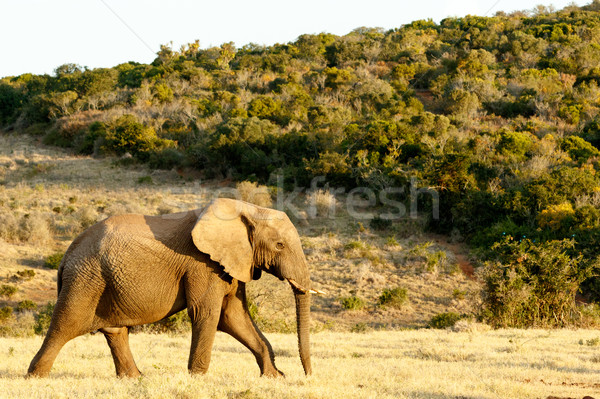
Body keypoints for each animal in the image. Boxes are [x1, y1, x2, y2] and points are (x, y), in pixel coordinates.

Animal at [28, 198, 318, 380]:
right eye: (279, 245)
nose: (307, 375)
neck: (245, 209)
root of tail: (66, 256)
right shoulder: (202, 264)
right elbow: (207, 314)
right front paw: (197, 378)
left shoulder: (233, 263)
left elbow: (233, 317)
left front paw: (275, 377)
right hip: (85, 279)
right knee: (65, 325)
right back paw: (35, 378)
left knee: (114, 330)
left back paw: (135, 379)